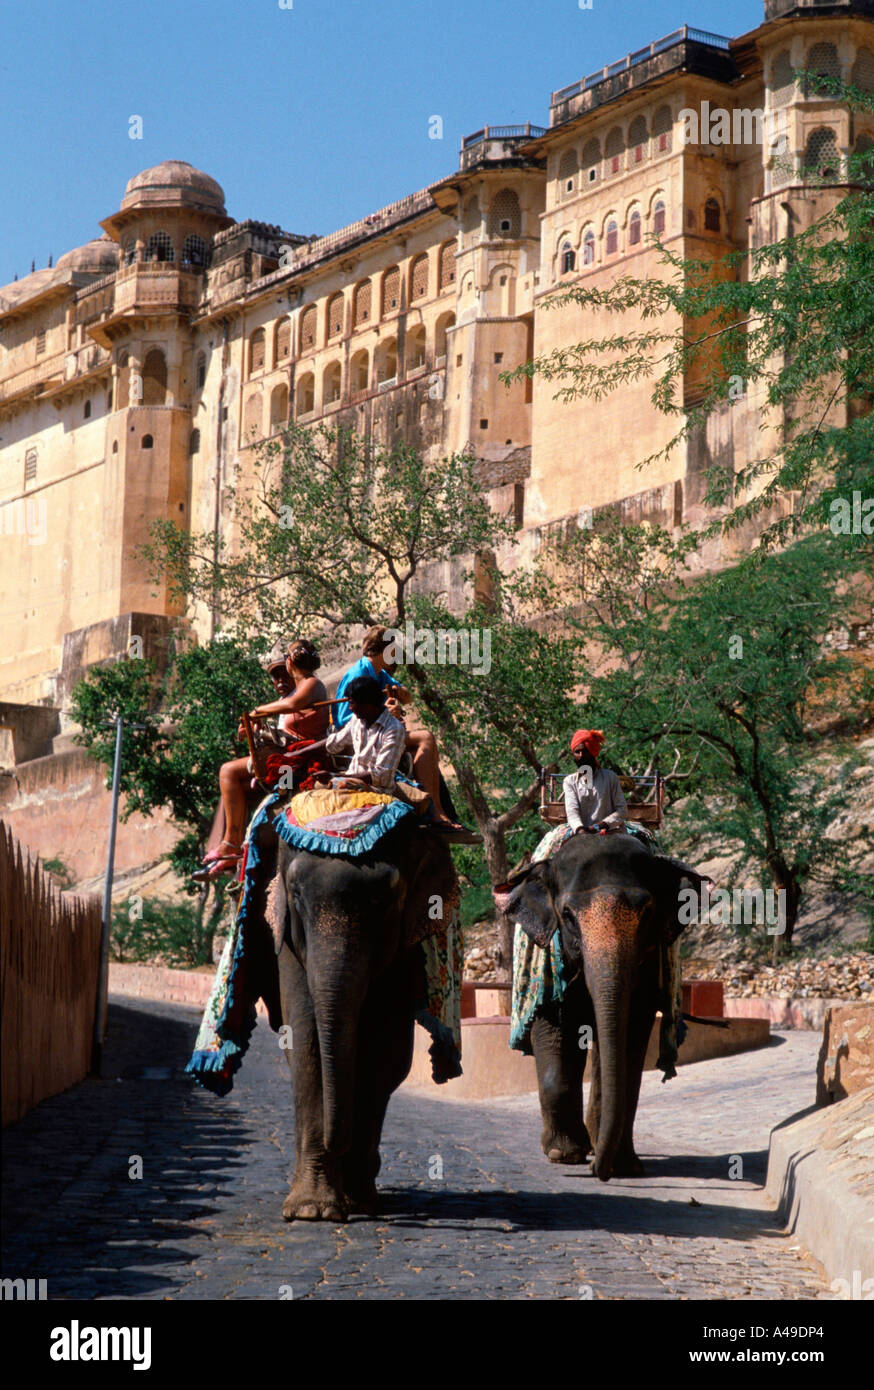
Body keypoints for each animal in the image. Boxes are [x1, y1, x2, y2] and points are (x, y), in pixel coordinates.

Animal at [491, 828, 708, 1178]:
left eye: (647, 912)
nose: (599, 1172)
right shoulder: (550, 958)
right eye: (567, 916)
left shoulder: (648, 964)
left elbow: (630, 1037)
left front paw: (623, 1165)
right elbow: (556, 1026)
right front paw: (563, 1154)